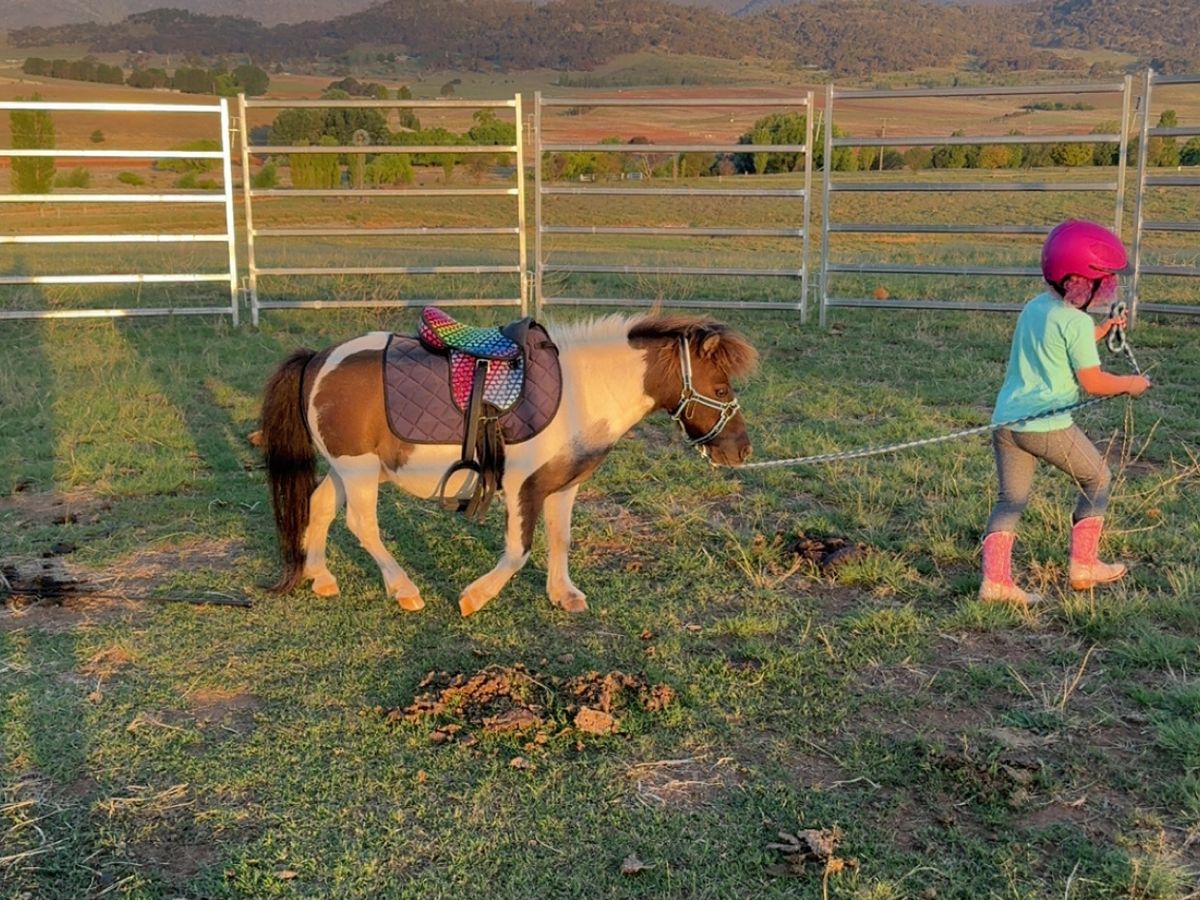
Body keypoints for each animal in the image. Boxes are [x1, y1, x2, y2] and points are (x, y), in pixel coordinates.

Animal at [258, 311, 758, 617]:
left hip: (347, 469)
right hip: (358, 470)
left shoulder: (563, 485)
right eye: (720, 388)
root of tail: (319, 359)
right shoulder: (523, 487)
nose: (741, 451)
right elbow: (519, 551)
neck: (581, 391)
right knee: (362, 525)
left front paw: (563, 594)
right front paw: (474, 598)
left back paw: (320, 577)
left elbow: (560, 539)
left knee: (320, 505)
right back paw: (405, 590)